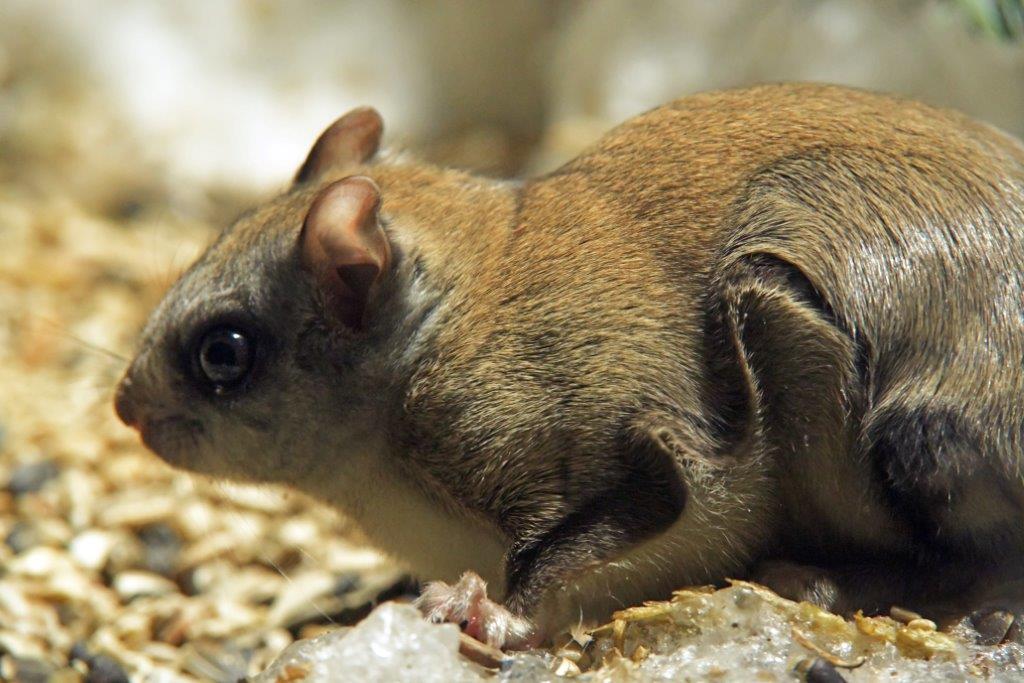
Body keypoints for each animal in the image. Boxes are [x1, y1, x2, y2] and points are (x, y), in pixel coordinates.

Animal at [115, 83, 1024, 648]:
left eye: (223, 352)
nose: (127, 408)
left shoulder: (600, 430)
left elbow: (585, 534)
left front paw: (490, 614)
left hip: (814, 351)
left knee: (968, 560)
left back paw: (831, 580)